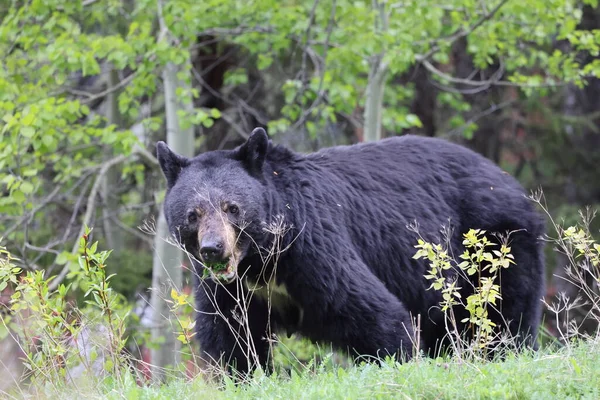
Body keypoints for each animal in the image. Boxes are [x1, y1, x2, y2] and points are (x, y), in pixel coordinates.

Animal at [157, 128, 548, 376]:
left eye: (232, 207)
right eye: (192, 214)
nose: (213, 249)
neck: (263, 260)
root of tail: (509, 180)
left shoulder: (313, 248)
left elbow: (369, 311)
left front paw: (400, 358)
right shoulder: (228, 287)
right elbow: (229, 334)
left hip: (497, 242)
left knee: (503, 312)